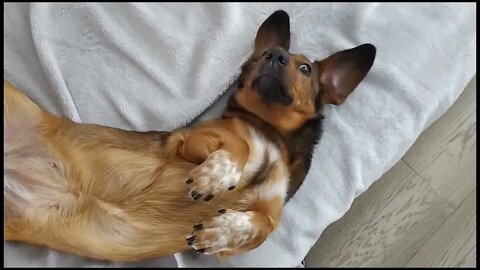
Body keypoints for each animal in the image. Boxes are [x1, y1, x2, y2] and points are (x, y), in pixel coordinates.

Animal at [3, 10, 376, 262]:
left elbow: (263, 226)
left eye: (305, 68)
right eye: (259, 57)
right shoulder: (189, 143)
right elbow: (239, 145)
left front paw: (223, 229)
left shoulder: (263, 218)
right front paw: (217, 176)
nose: (273, 54)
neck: (270, 134)